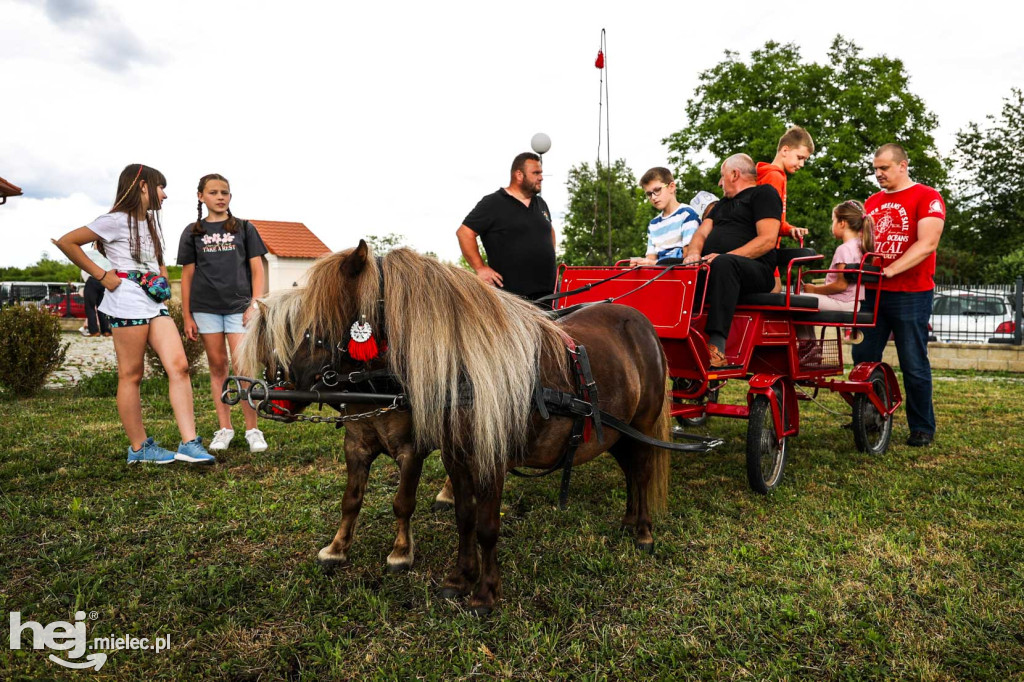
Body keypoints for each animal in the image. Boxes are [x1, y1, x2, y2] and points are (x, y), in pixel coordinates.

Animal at [239, 241, 671, 614]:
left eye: (320, 321)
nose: (277, 397)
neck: (468, 370)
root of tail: (639, 321)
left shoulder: (477, 458)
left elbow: (482, 525)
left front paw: (483, 593)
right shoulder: (447, 454)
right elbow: (461, 516)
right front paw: (459, 579)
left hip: (642, 425)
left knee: (643, 472)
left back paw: (643, 532)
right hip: (617, 432)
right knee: (630, 472)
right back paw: (629, 521)